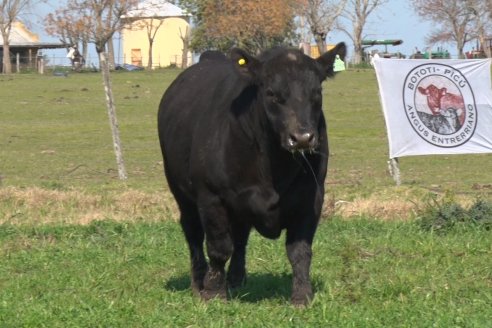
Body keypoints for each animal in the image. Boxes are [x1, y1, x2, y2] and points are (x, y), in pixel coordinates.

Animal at [158, 43, 346, 304]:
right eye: (271, 93)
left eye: (317, 91)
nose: (302, 138)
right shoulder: (211, 196)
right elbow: (218, 247)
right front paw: (213, 292)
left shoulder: (312, 197)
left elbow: (300, 250)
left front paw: (302, 296)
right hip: (182, 192)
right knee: (193, 232)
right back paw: (198, 282)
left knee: (240, 236)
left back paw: (236, 280)